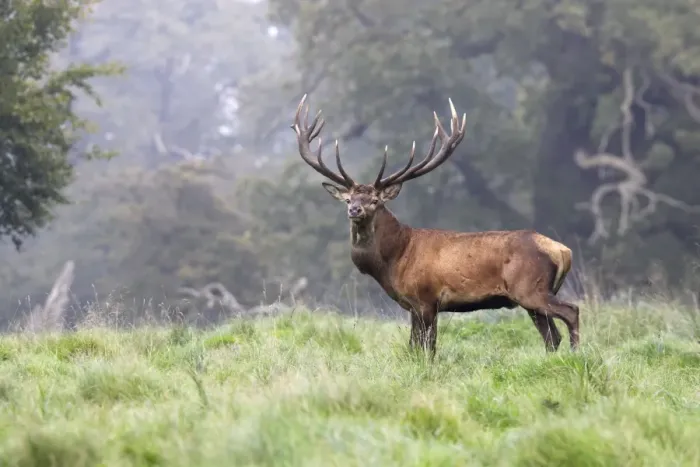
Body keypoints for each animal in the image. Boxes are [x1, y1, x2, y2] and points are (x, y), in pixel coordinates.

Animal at [290, 94, 580, 356]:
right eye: (349, 199)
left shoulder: (427, 299)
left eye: (374, 200)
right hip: (531, 298)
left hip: (531, 288)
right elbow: (413, 347)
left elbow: (427, 348)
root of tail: (563, 251)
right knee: (551, 336)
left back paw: (578, 354)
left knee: (571, 312)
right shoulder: (412, 306)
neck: (393, 260)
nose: (354, 210)